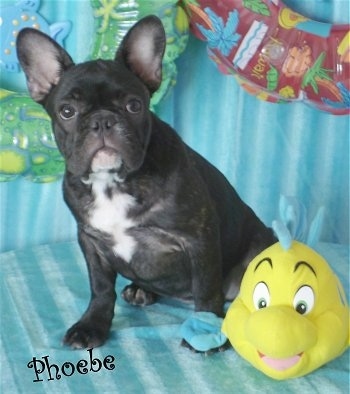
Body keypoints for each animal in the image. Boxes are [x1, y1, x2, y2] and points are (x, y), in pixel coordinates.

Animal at [17, 15, 276, 350]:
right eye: (67, 111)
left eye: (134, 106)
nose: (102, 120)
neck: (113, 183)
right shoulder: (90, 241)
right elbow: (101, 288)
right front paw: (92, 325)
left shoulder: (199, 237)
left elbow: (207, 288)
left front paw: (206, 332)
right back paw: (142, 289)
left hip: (259, 247)